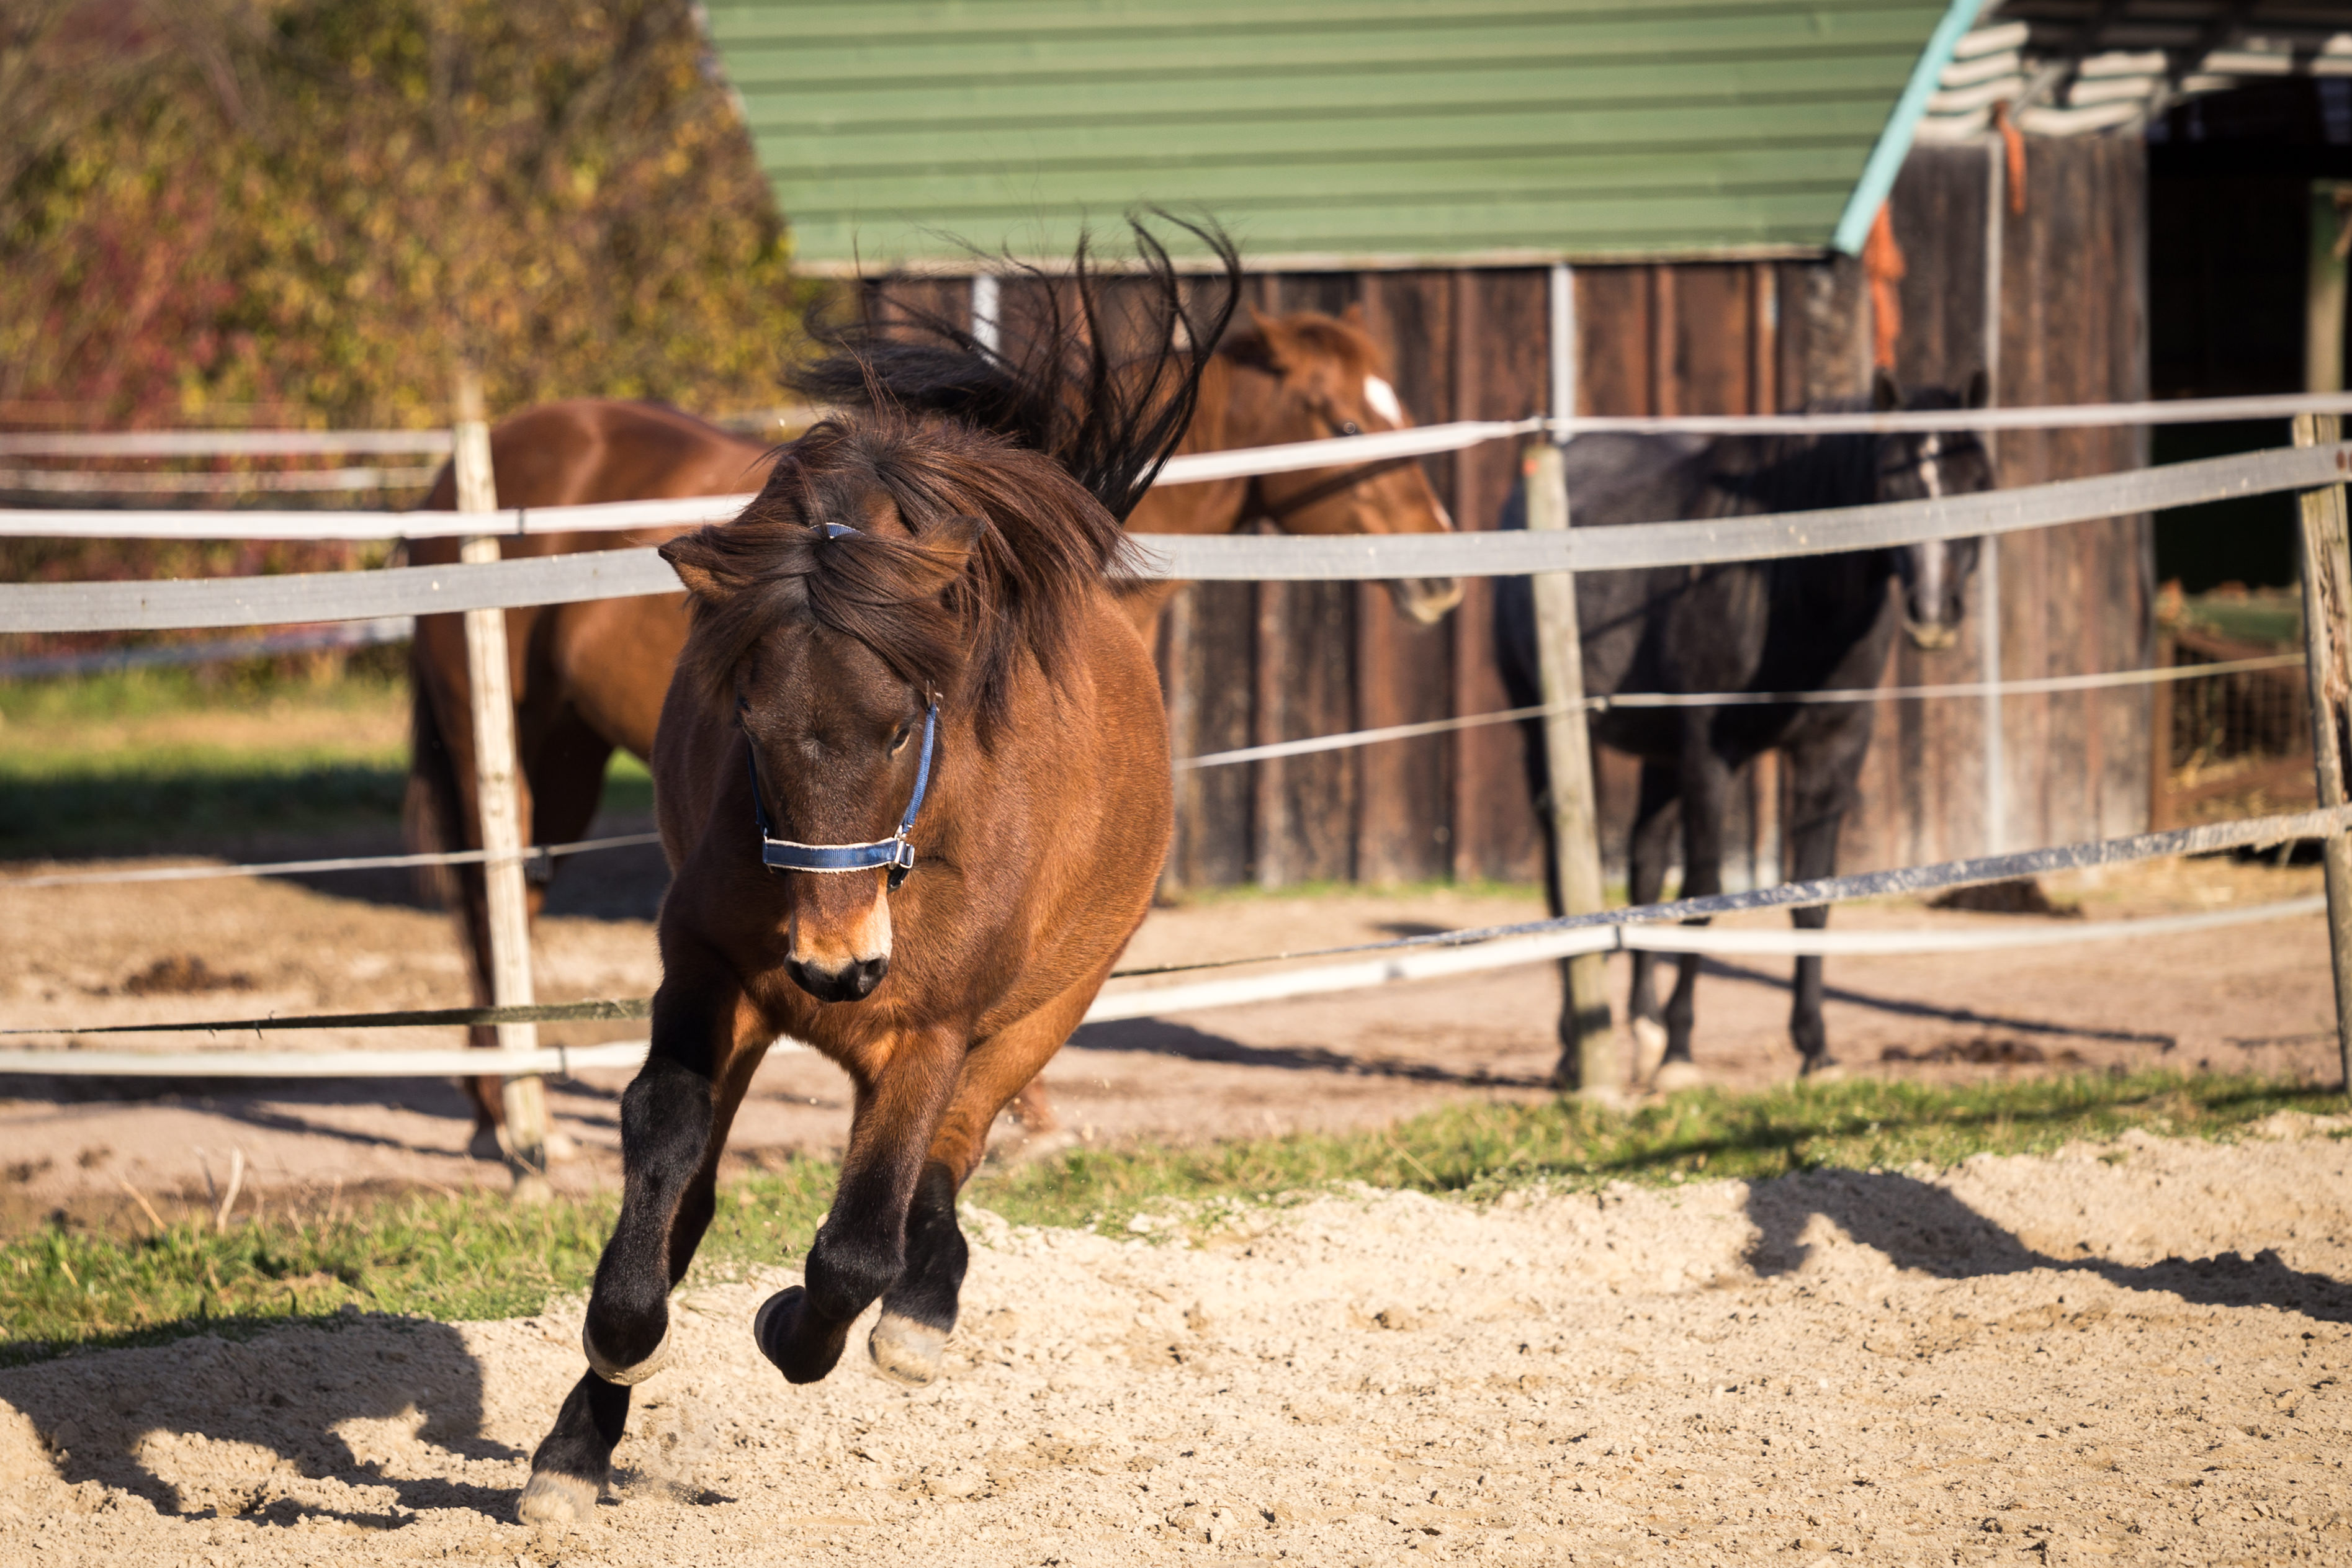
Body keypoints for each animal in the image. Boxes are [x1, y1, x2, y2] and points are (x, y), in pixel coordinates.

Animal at [407, 311, 1458, 1160]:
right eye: (1349, 423)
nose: (1441, 573)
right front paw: (1029, 1121)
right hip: (510, 748)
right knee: (490, 909)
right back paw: (515, 1125)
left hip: (566, 757)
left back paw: (496, 1113)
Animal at [515, 230, 1229, 1525]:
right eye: (749, 719)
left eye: (904, 723)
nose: (835, 962)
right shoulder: (706, 968)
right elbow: (665, 1155)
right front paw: (604, 1381)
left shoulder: (935, 1024)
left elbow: (859, 1239)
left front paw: (798, 1322)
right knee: (714, 1192)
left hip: (1045, 1008)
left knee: (943, 1167)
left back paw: (920, 1316)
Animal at [1494, 372, 1993, 1087]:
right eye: (1891, 485)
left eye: (1977, 479)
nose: (1934, 612)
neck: (1784, 584)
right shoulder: (1710, 753)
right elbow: (1703, 895)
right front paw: (1681, 1054)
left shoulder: (1831, 751)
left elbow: (1813, 899)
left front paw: (1815, 1050)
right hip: (1555, 735)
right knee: (1566, 881)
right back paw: (1575, 1053)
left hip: (1659, 753)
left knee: (1643, 865)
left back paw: (1641, 1030)